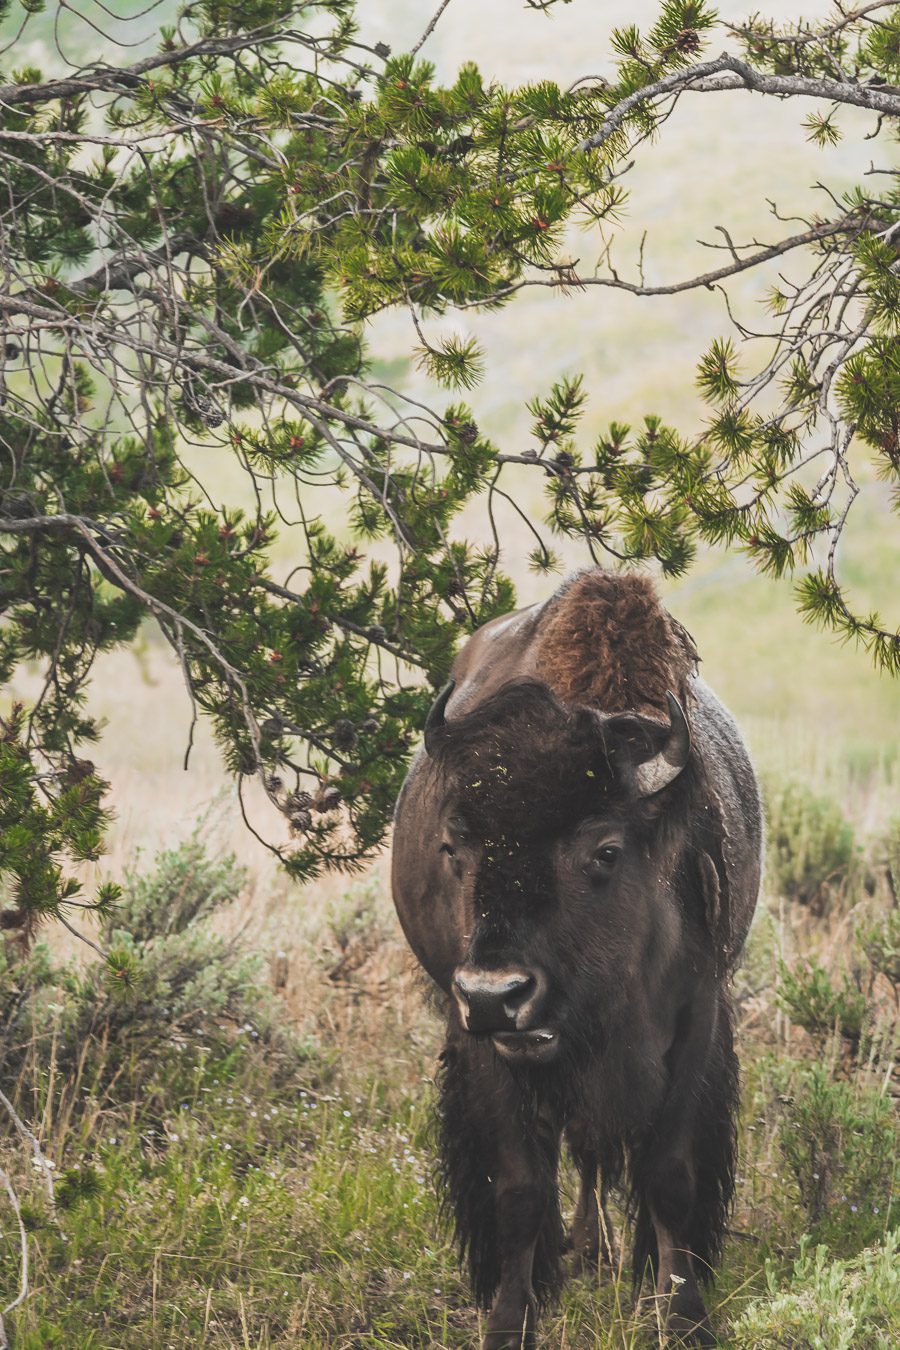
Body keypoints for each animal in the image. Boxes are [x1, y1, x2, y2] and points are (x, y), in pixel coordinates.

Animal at [391, 564, 766, 1344]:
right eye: (453, 847)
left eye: (605, 850)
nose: (495, 993)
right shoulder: (486, 1049)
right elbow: (520, 1187)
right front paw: (511, 1321)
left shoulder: (695, 1019)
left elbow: (670, 1174)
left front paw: (682, 1316)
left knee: (594, 1151)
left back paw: (601, 1256)